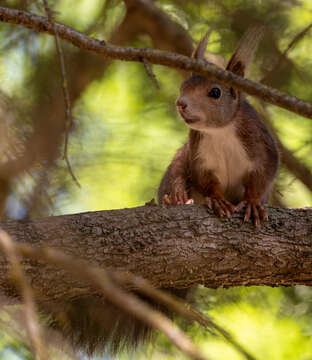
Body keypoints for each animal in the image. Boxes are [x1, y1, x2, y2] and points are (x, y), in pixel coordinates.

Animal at [50, 28, 280, 358]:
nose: (181, 103)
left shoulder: (261, 146)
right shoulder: (199, 155)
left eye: (215, 92)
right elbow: (207, 182)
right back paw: (176, 199)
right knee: (177, 180)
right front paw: (217, 200)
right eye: (184, 84)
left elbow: (262, 177)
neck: (221, 132)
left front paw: (251, 203)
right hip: (178, 161)